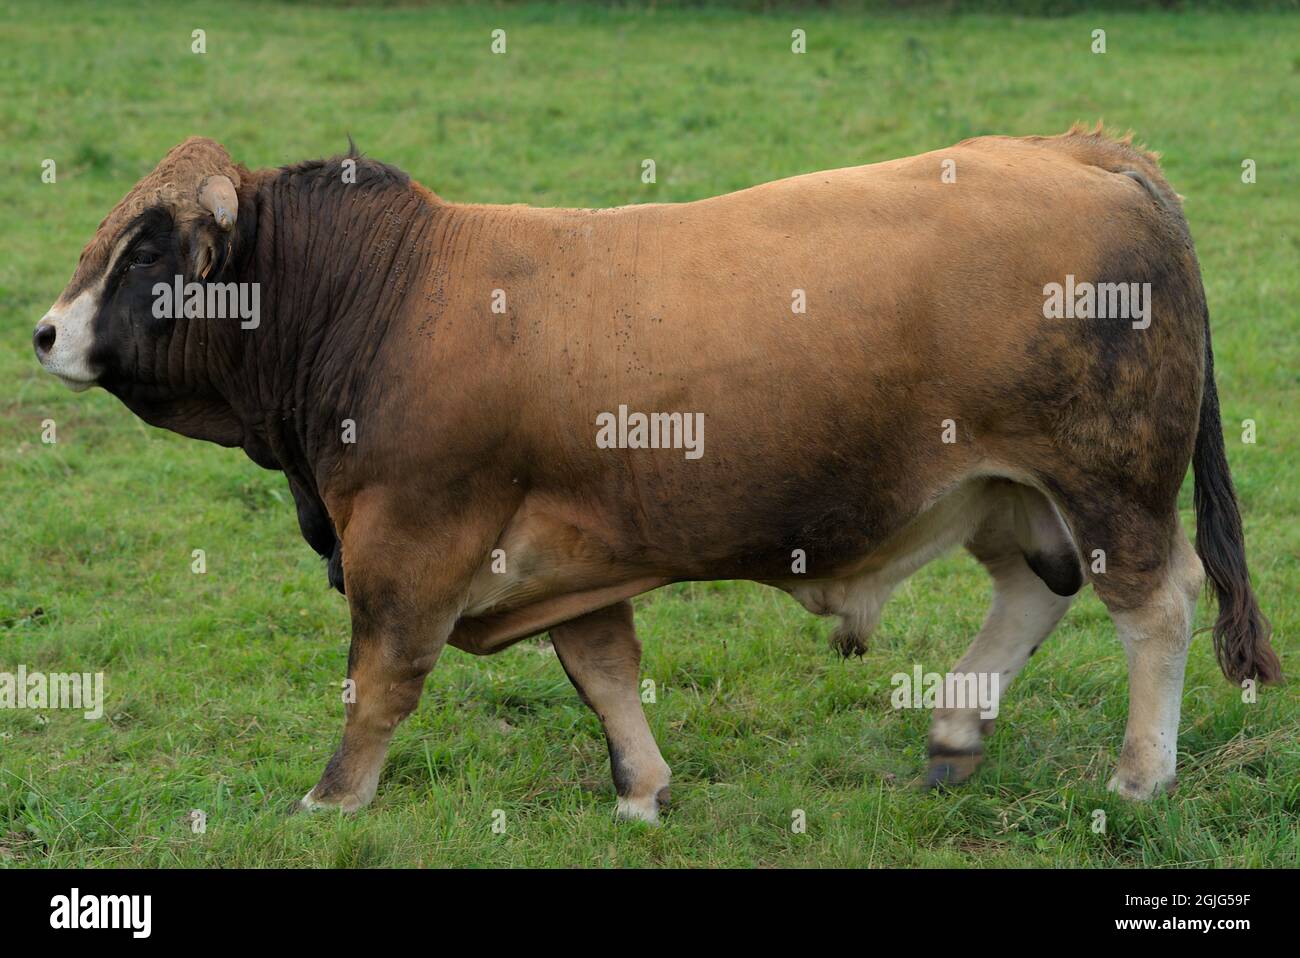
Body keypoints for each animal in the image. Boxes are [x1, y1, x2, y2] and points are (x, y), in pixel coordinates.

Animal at [32, 123, 1279, 816]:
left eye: (147, 251)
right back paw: (954, 731)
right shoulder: (571, 556)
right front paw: (639, 788)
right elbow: (604, 672)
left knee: (1155, 608)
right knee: (1032, 590)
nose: (44, 332)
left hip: (1109, 483)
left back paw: (1138, 776)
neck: (386, 292)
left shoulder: (407, 538)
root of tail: (1086, 152)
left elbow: (382, 677)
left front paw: (332, 800)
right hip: (1006, 492)